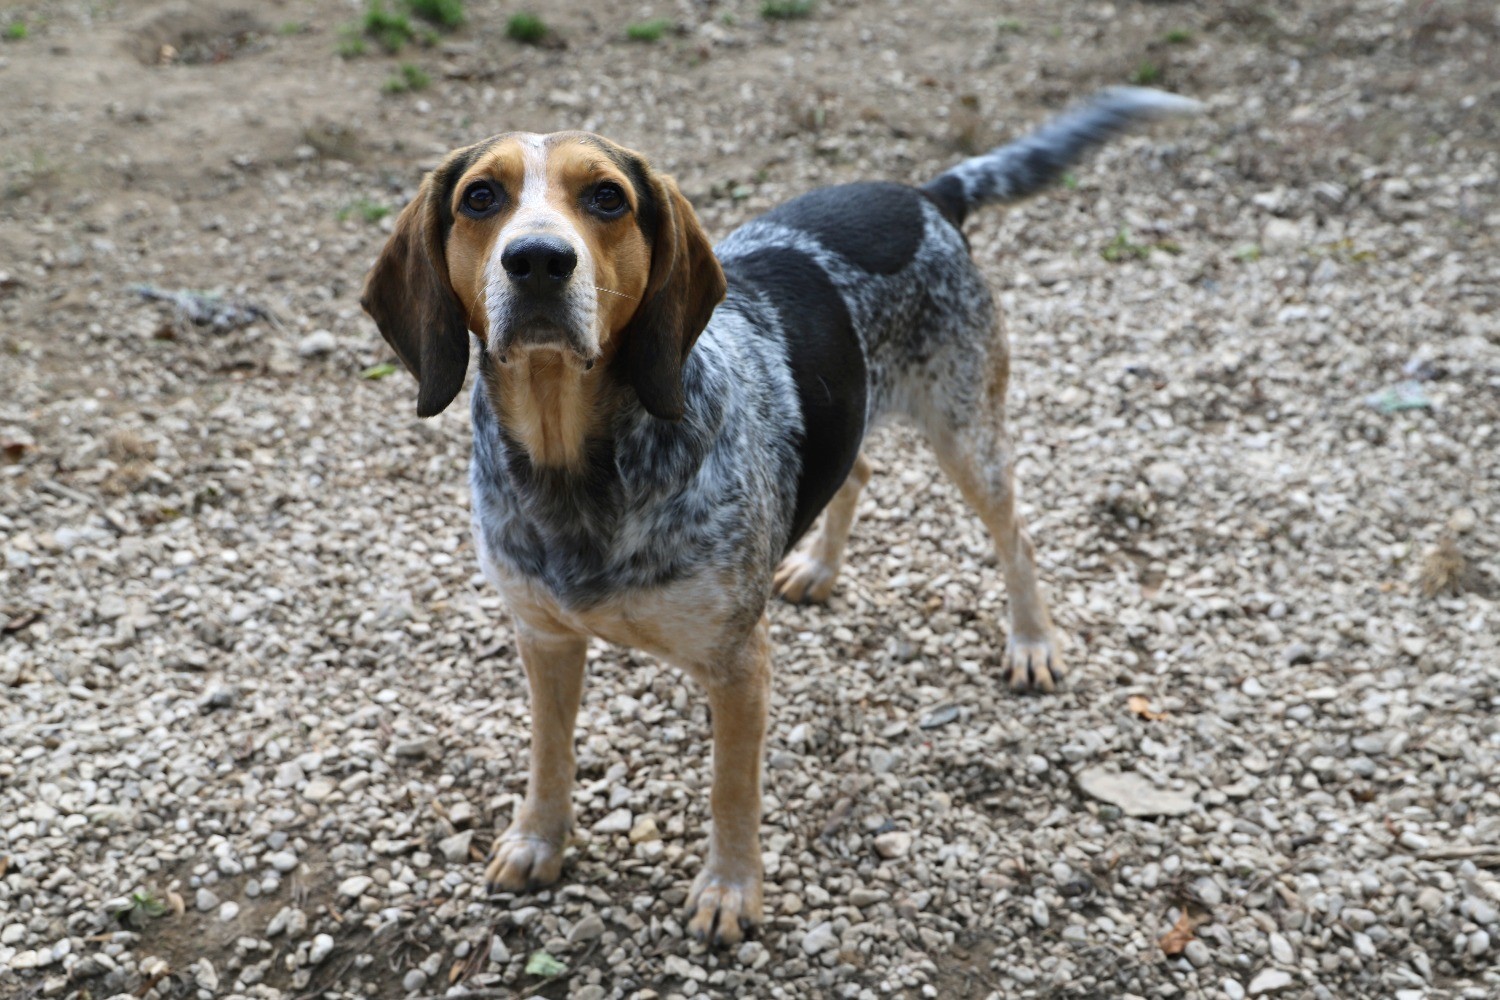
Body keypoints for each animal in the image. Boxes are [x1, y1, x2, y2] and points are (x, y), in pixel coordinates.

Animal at [360, 86, 1194, 947]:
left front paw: (729, 891)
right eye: (479, 198)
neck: (573, 468)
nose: (537, 260)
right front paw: (538, 842)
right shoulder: (544, 639)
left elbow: (732, 789)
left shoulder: (738, 667)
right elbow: (548, 757)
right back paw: (818, 568)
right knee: (858, 469)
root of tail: (928, 193)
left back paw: (1030, 642)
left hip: (967, 434)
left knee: (1015, 536)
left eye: (607, 198)